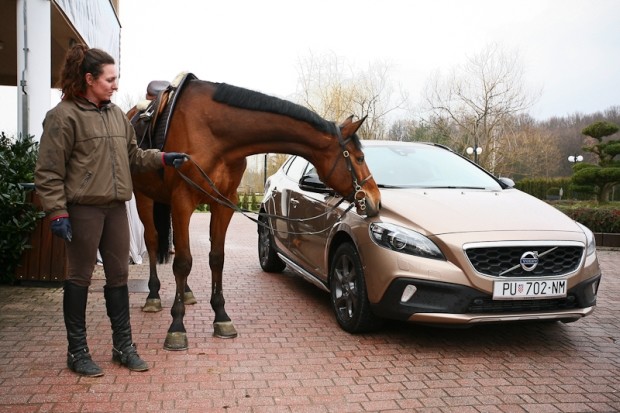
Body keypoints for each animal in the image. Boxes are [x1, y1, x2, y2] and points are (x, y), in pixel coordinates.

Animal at [128, 79, 380, 350]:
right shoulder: (182, 202)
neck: (213, 133)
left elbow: (216, 258)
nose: (375, 200)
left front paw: (221, 317)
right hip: (144, 198)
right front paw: (176, 326)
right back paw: (153, 296)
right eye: (359, 157)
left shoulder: (224, 204)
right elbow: (183, 263)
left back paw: (186, 293)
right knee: (153, 242)